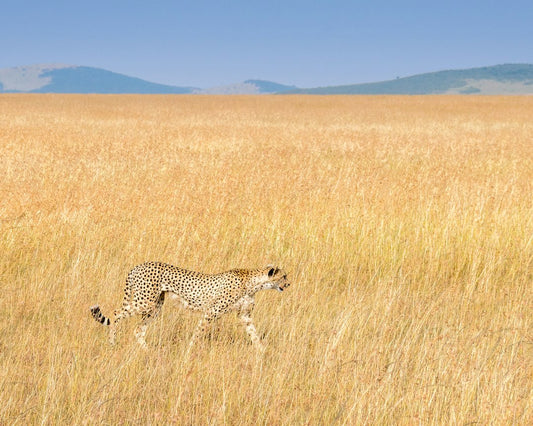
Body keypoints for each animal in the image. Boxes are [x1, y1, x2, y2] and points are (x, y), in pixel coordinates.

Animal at [89, 262, 288, 352]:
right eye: (284, 276)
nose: (289, 284)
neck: (254, 283)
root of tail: (137, 266)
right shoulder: (211, 312)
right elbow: (199, 333)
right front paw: (189, 350)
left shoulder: (244, 316)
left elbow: (254, 334)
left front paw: (262, 351)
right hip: (144, 302)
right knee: (116, 313)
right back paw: (112, 342)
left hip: (155, 306)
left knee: (138, 329)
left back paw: (148, 351)